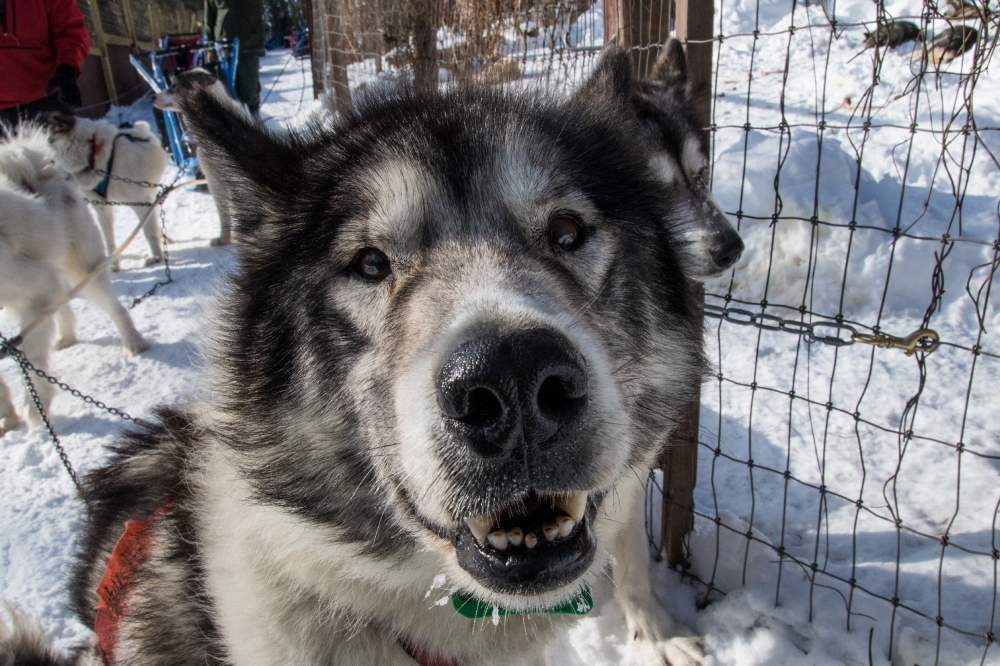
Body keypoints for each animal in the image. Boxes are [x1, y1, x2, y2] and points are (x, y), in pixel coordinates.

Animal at [0, 128, 150, 436]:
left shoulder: (33, 288)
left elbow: (32, 356)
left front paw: (35, 405)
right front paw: (7, 416)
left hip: (83, 269)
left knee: (115, 308)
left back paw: (133, 343)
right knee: (60, 303)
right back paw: (67, 336)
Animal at [45, 112, 169, 270]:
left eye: (48, 141)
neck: (92, 152)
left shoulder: (140, 201)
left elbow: (148, 231)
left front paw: (156, 256)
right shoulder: (101, 207)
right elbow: (108, 239)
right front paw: (113, 264)